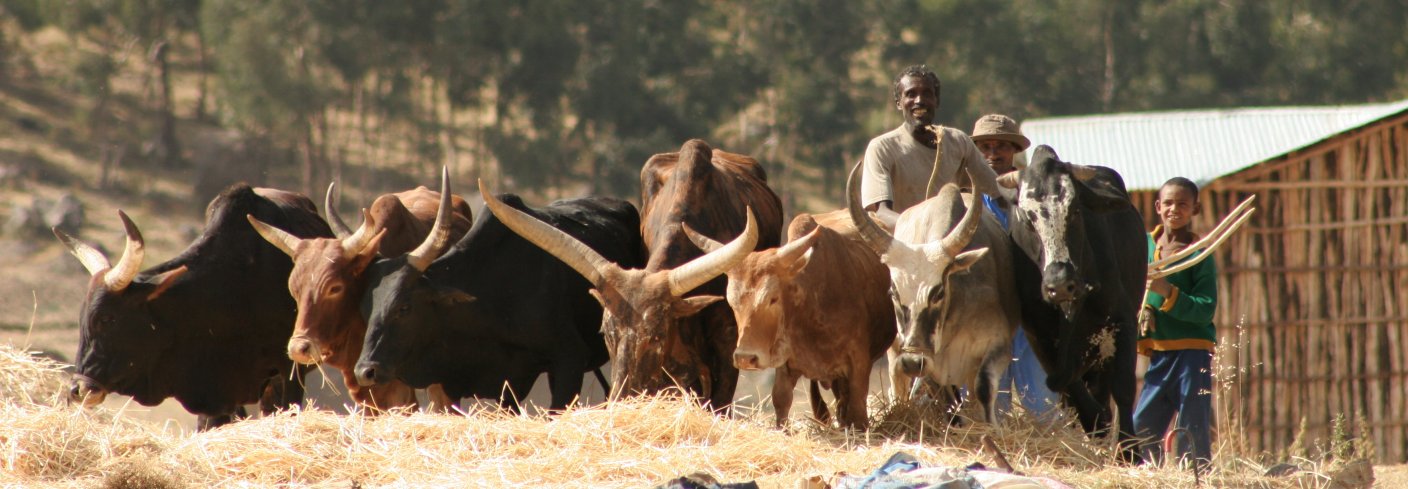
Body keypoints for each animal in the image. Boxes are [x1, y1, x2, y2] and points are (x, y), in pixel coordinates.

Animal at [687, 211, 895, 428]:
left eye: (773, 298)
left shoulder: (858, 365)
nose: (745, 357)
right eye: (731, 301)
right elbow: (781, 401)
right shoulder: (785, 365)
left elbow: (857, 412)